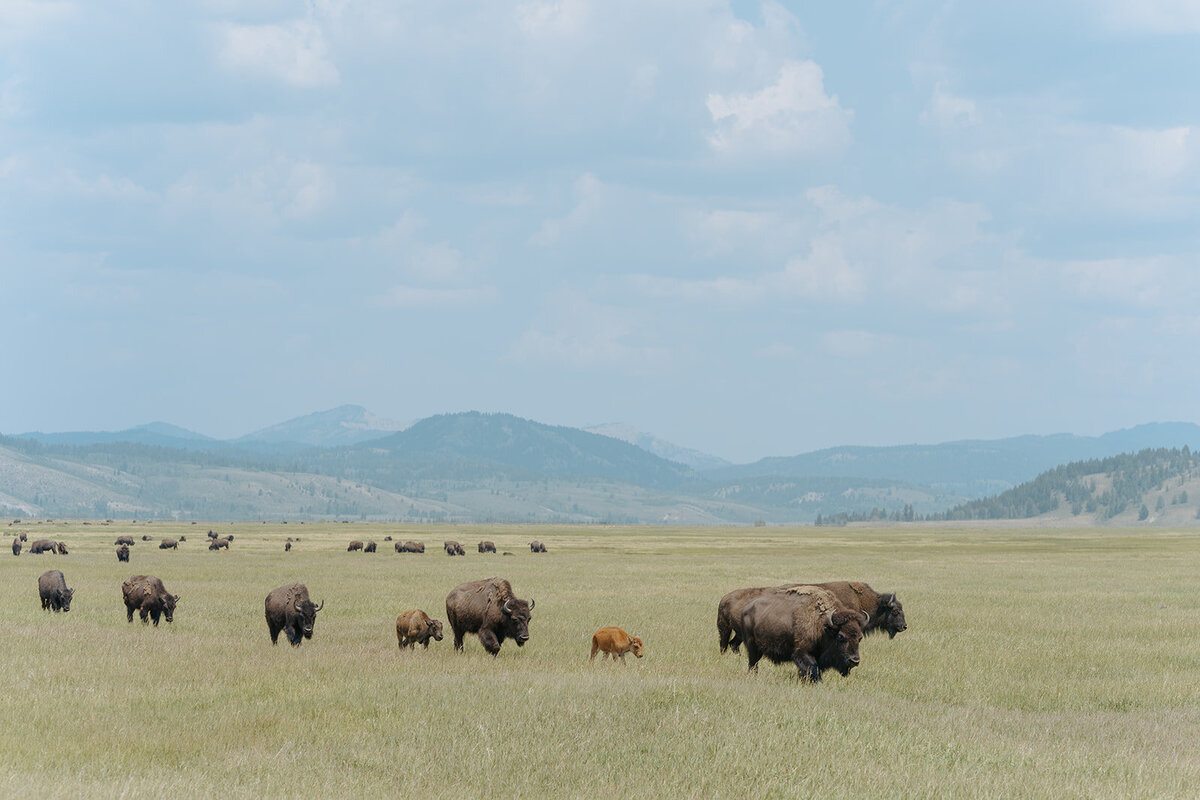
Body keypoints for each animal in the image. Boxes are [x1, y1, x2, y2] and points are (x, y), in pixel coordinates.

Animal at [734, 587, 868, 681]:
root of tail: (746, 608)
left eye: (860, 638)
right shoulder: (803, 653)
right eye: (841, 636)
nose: (854, 660)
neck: (823, 626)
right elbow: (811, 669)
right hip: (752, 647)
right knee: (753, 663)